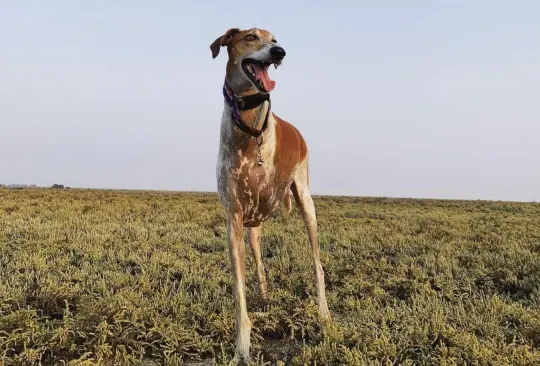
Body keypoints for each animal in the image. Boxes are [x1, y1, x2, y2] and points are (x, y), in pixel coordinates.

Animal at [210, 26, 330, 364]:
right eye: (251, 37)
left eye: (274, 40)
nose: (280, 52)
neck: (247, 124)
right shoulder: (235, 219)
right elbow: (240, 295)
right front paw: (242, 347)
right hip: (253, 230)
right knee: (260, 265)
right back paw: (265, 299)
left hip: (307, 204)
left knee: (317, 265)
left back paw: (324, 314)